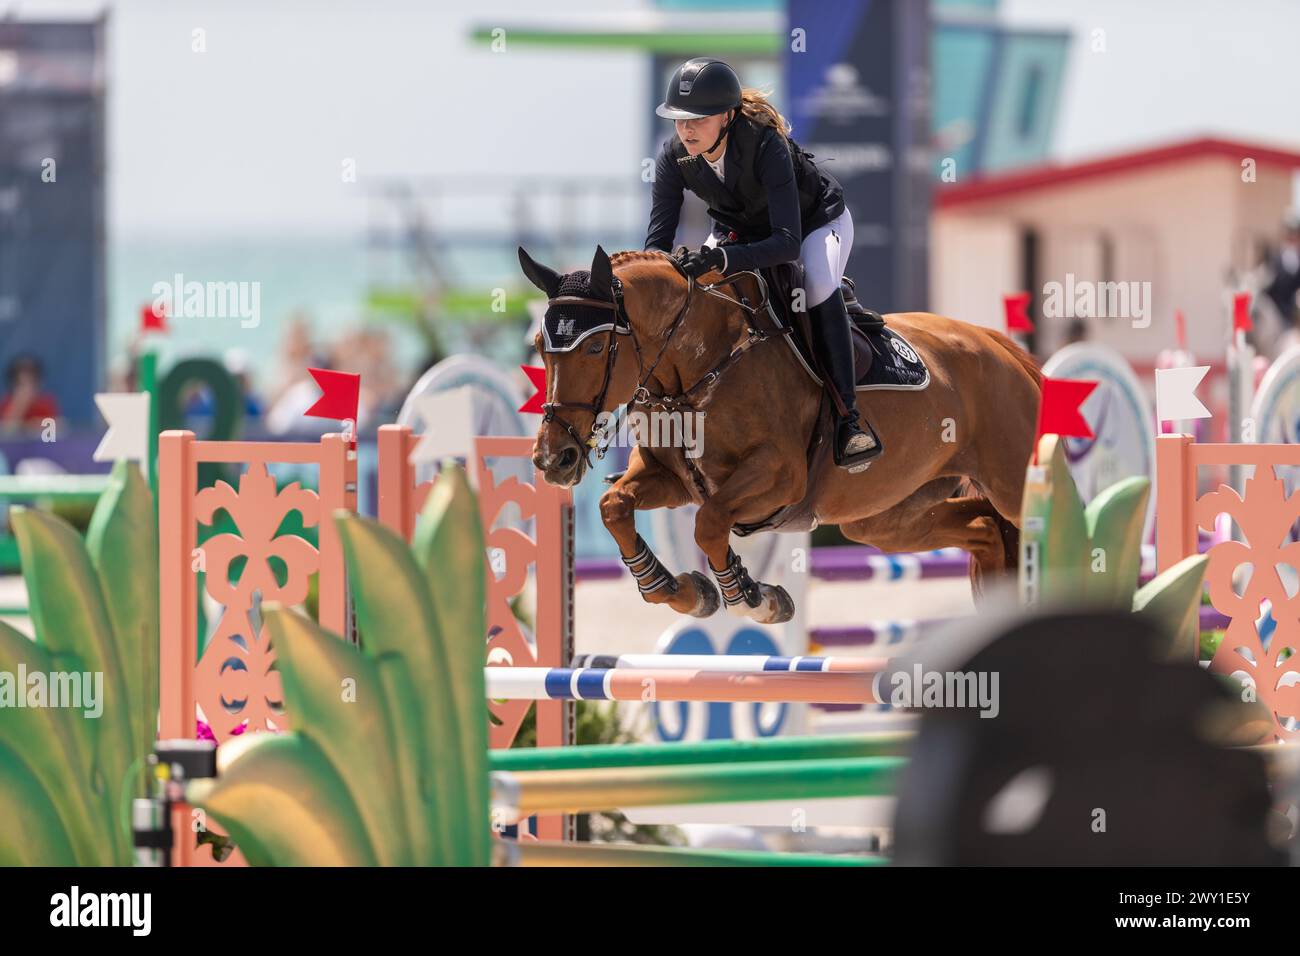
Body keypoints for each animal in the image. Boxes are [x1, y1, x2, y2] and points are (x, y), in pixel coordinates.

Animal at [522, 243, 1040, 624]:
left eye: (594, 348)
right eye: (540, 345)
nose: (554, 458)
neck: (702, 363)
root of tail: (999, 347)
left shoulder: (779, 476)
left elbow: (710, 521)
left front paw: (754, 598)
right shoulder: (670, 479)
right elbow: (615, 506)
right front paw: (682, 591)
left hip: (1010, 481)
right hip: (885, 517)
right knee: (984, 527)